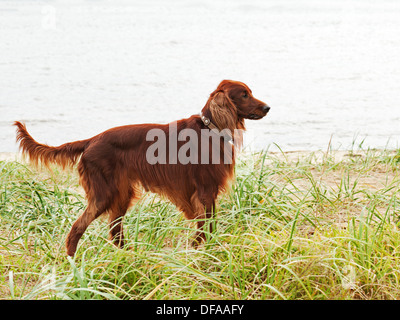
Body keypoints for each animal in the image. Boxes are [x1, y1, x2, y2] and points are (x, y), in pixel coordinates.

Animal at [14, 80, 268, 255]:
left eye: (250, 91)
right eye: (244, 94)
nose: (268, 107)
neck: (210, 129)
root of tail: (92, 140)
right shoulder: (205, 191)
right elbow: (207, 227)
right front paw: (204, 251)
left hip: (121, 193)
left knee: (115, 230)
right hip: (104, 194)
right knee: (78, 227)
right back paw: (73, 262)